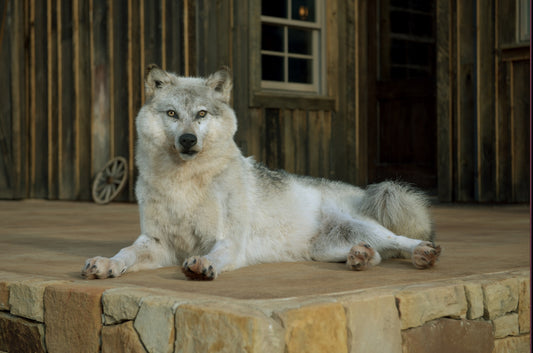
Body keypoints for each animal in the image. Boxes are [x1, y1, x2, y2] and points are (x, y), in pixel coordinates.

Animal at [82, 64, 440, 280]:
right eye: (172, 114)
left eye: (201, 114)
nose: (187, 140)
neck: (183, 182)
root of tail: (362, 189)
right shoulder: (156, 242)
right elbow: (126, 253)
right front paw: (106, 263)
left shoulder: (227, 240)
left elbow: (214, 253)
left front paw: (202, 265)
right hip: (321, 250)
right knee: (378, 255)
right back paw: (361, 257)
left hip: (363, 227)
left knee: (399, 242)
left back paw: (423, 253)